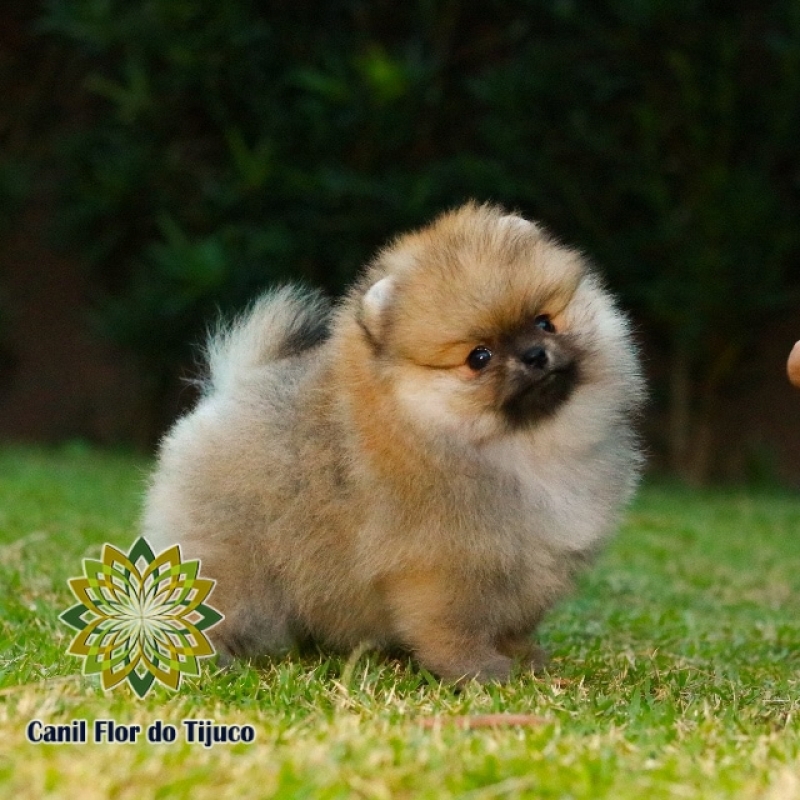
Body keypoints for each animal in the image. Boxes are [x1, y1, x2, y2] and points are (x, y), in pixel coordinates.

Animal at [142, 202, 644, 680]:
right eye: (478, 357)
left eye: (544, 323)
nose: (536, 355)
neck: (522, 447)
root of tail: (229, 390)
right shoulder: (441, 567)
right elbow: (451, 629)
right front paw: (479, 671)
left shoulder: (529, 566)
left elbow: (513, 624)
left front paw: (524, 658)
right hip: (233, 558)